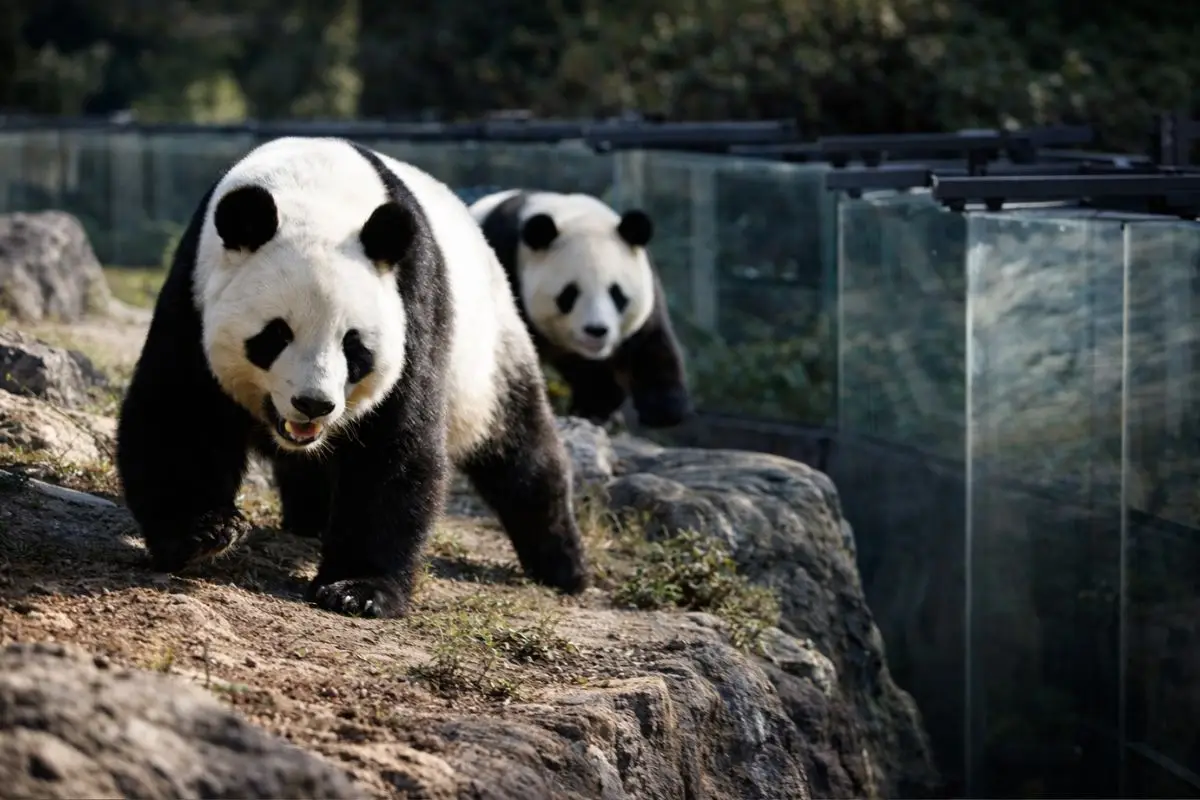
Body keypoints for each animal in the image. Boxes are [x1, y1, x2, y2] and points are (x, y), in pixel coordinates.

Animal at [115, 136, 588, 619]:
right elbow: (179, 414)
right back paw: (307, 520)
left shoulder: (411, 304)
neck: (316, 191)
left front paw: (358, 589)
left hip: (489, 353)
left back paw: (564, 569)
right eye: (275, 336)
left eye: (353, 346)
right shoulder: (192, 293)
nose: (314, 404)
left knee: (521, 452)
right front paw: (203, 532)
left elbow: (393, 444)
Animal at [468, 189, 692, 429]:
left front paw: (663, 409)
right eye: (570, 294)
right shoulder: (505, 264)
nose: (597, 330)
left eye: (617, 294)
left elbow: (648, 342)